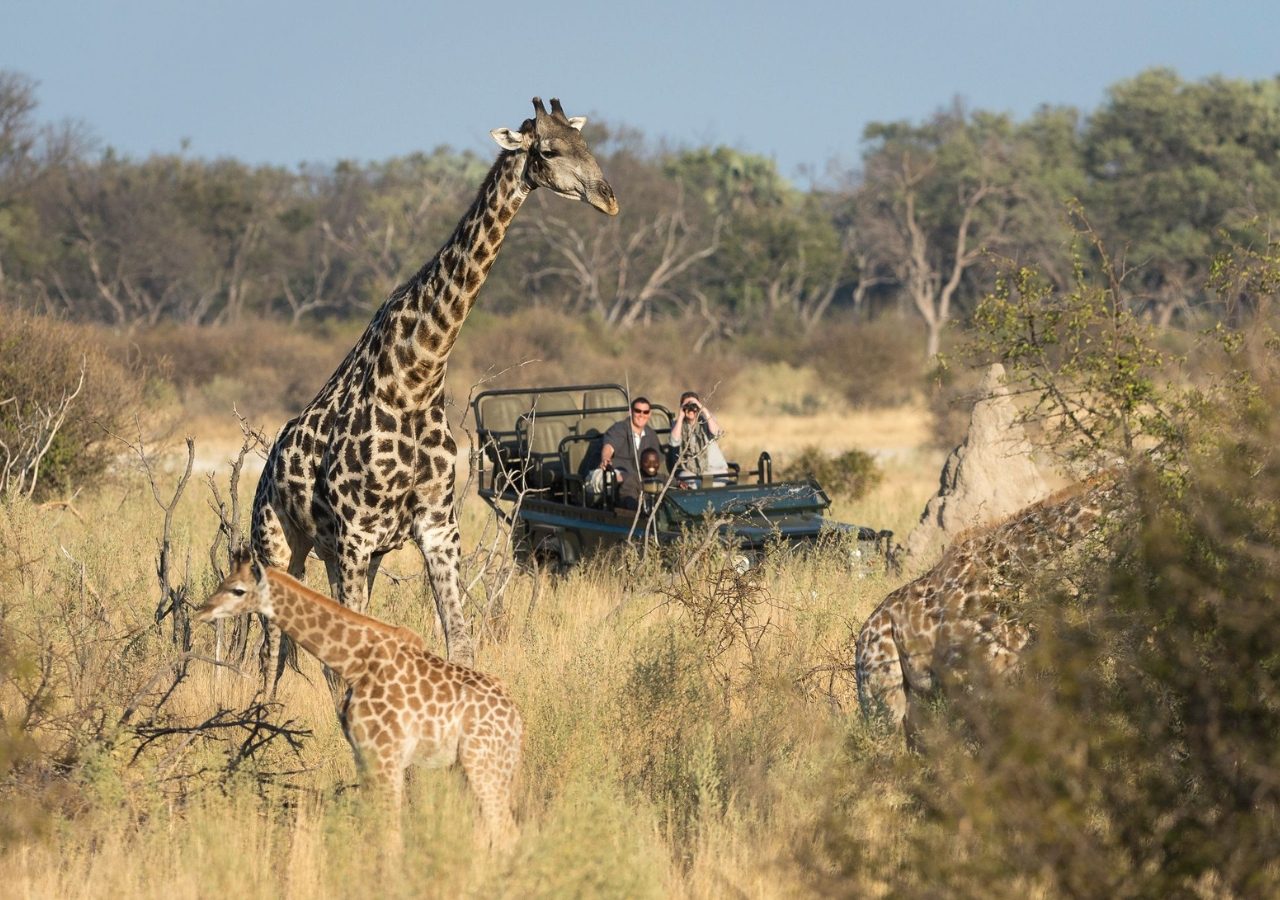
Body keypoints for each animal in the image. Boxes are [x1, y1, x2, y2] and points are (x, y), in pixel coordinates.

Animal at [199, 553, 519, 850]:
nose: (203, 610)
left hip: (483, 764)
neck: (354, 661)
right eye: (223, 581)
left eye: (238, 590)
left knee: (505, 830)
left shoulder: (386, 753)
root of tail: (516, 719)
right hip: (472, 767)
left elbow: (391, 833)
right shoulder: (363, 753)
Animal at [250, 98, 619, 681]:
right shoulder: (355, 535)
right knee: (269, 652)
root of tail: (266, 469)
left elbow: (460, 646)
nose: (609, 199)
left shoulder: (436, 527)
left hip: (336, 553)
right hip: (278, 542)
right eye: (547, 150)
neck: (417, 378)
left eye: (587, 144)